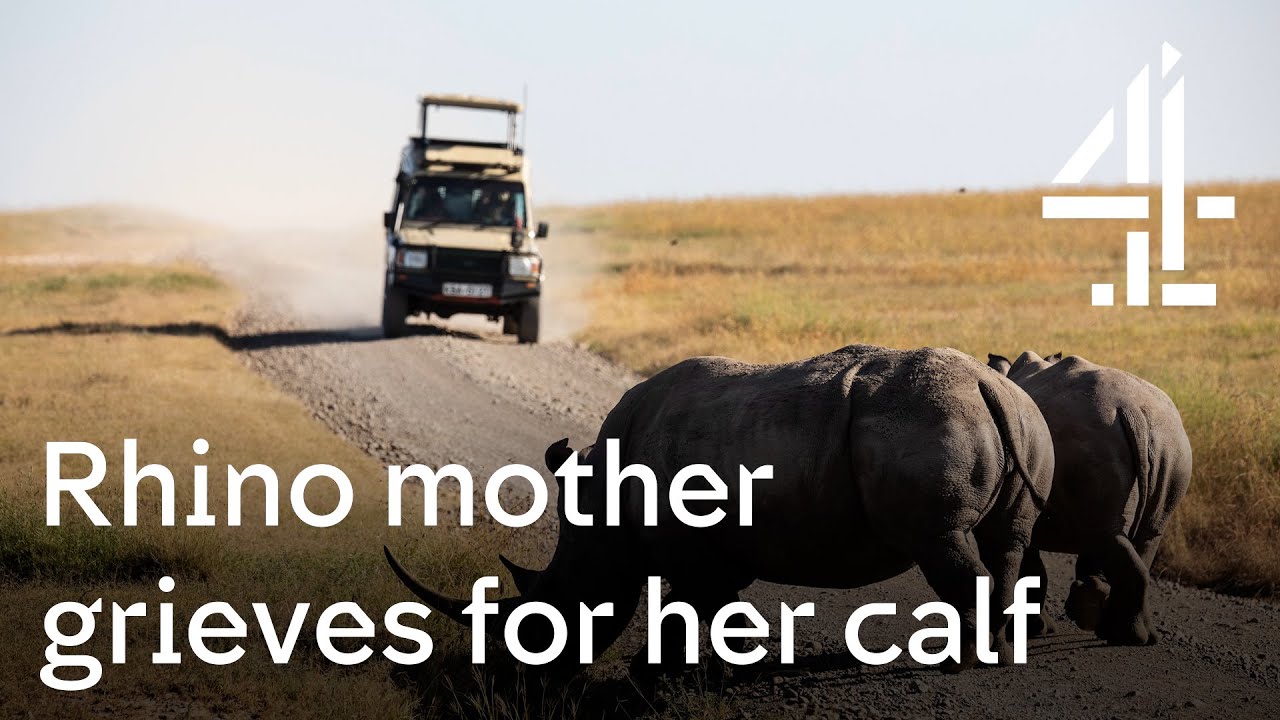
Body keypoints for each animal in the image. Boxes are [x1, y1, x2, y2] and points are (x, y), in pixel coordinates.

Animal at [387, 345, 1054, 674]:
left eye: (546, 613)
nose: (539, 672)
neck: (600, 515)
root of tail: (988, 385)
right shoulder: (719, 550)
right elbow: (710, 610)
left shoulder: (692, 552)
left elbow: (688, 612)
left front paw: (654, 676)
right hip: (1020, 418)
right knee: (1008, 542)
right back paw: (1001, 653)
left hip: (929, 423)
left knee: (945, 543)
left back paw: (959, 667)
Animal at [987, 351, 1192, 645]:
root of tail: (1135, 413)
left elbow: (1031, 568)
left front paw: (1036, 630)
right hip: (1171, 442)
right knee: (1143, 535)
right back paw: (1134, 636)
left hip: (1097, 441)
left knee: (1110, 537)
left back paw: (1122, 634)